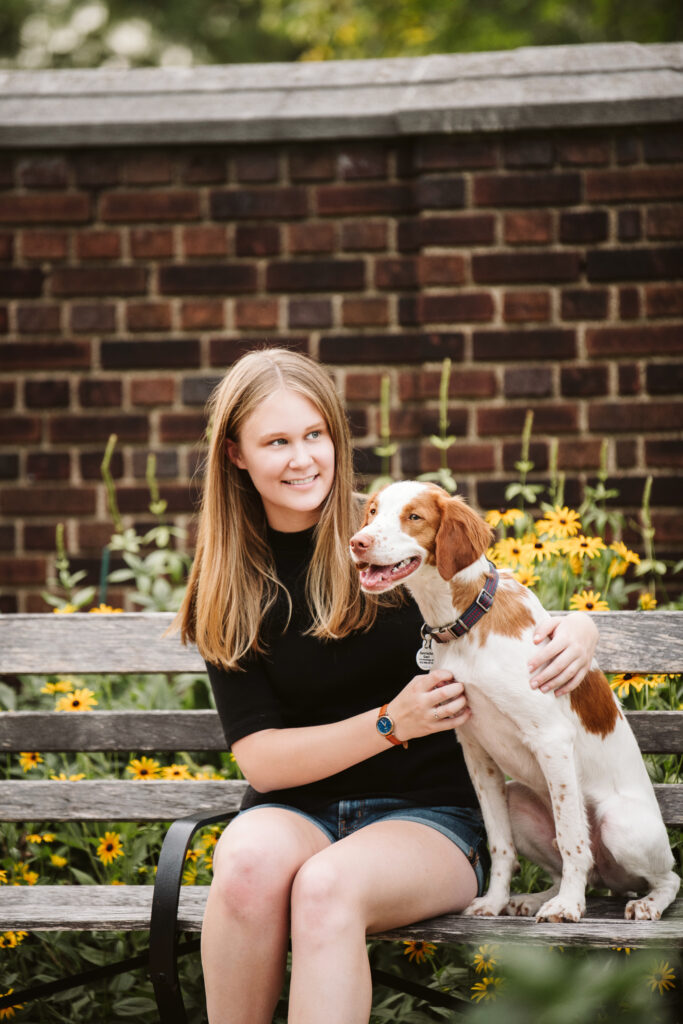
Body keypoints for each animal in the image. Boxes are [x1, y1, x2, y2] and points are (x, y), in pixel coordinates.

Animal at [352, 483, 679, 925]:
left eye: (414, 517)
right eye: (372, 512)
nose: (357, 542)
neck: (466, 622)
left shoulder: (552, 741)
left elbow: (572, 839)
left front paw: (570, 907)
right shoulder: (476, 752)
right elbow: (500, 844)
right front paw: (494, 901)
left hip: (621, 826)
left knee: (666, 876)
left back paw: (644, 903)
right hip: (519, 801)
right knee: (577, 866)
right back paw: (537, 898)